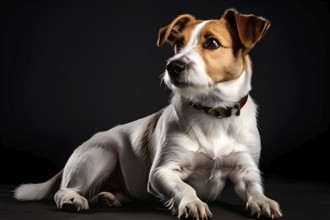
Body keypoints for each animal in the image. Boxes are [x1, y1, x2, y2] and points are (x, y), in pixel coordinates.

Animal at [14, 8, 282, 218]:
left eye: (212, 43)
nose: (173, 66)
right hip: (101, 154)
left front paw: (263, 202)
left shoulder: (245, 171)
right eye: (178, 44)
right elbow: (186, 188)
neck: (212, 111)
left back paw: (108, 197)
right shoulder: (162, 172)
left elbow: (255, 188)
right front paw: (193, 203)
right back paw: (73, 200)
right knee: (64, 190)